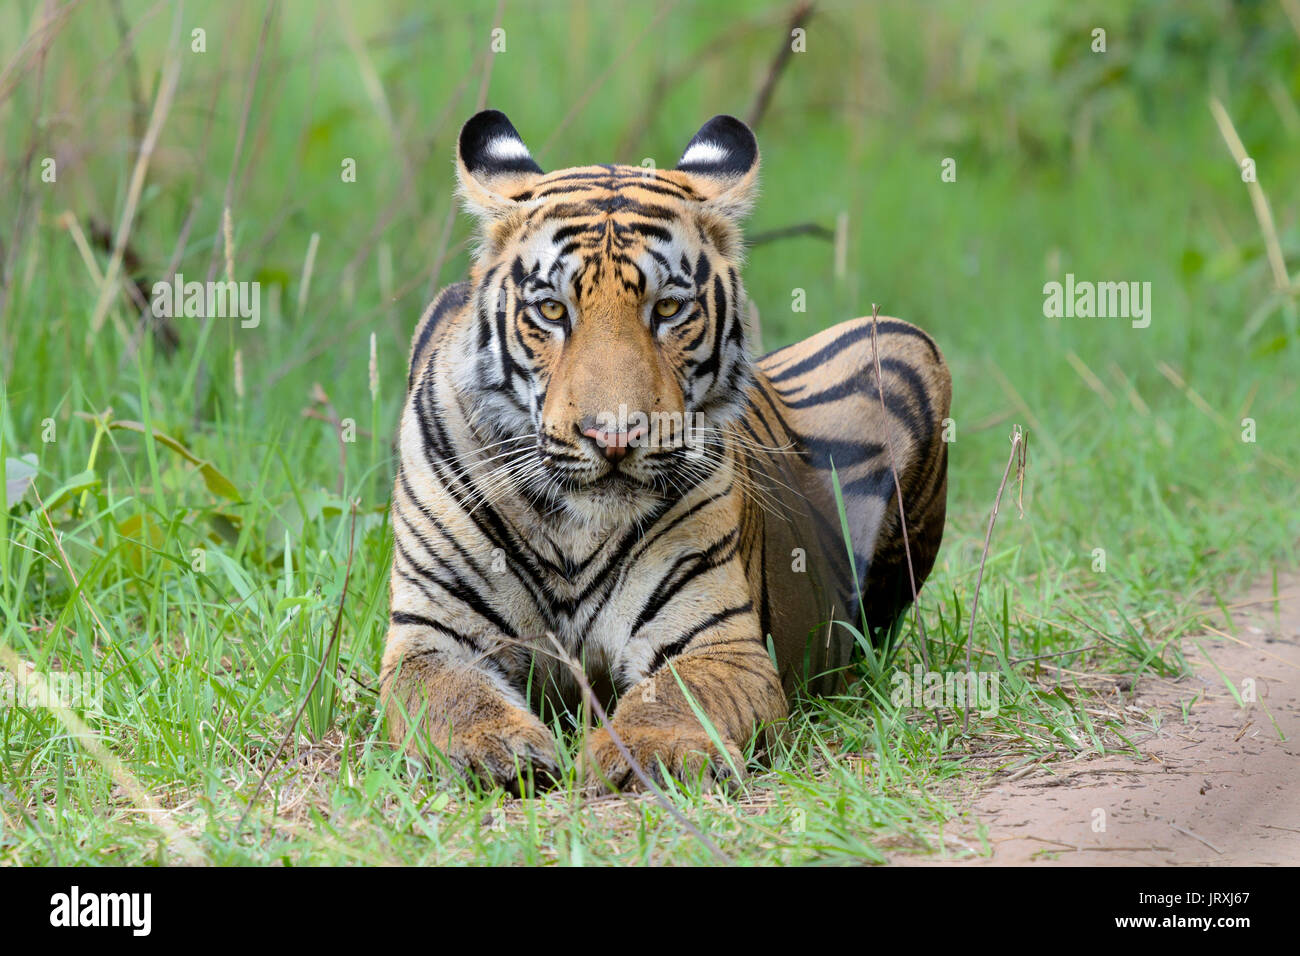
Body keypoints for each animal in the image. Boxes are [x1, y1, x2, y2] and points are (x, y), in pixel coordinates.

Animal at [379, 110, 951, 790]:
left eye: (669, 308)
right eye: (552, 310)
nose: (613, 437)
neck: (572, 530)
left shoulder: (715, 641)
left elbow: (676, 699)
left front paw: (647, 753)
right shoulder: (433, 635)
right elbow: (449, 695)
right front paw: (494, 749)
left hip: (901, 340)